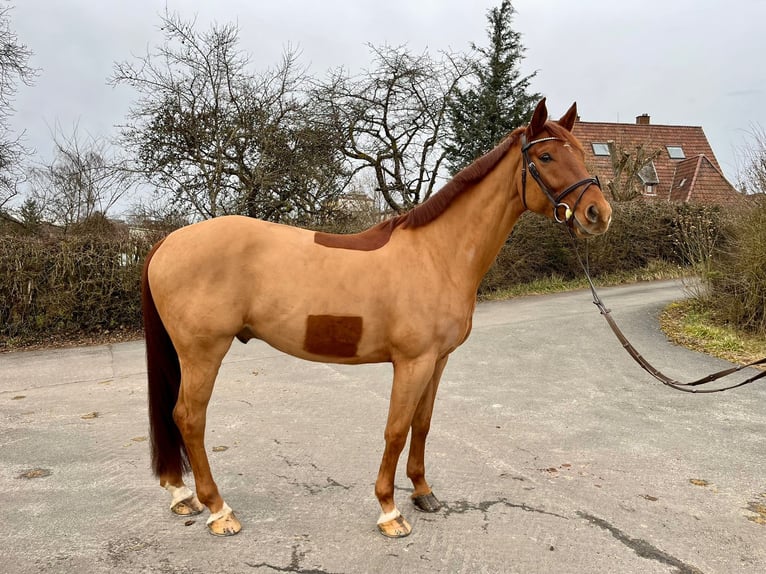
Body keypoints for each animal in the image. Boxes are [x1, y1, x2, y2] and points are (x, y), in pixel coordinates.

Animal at [142, 98, 612, 540]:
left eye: (581, 154)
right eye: (546, 157)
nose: (598, 214)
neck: (436, 254)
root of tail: (168, 241)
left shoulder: (437, 361)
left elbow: (422, 425)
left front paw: (423, 493)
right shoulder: (412, 362)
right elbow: (396, 430)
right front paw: (390, 510)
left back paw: (182, 495)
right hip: (203, 353)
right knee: (189, 418)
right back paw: (218, 510)